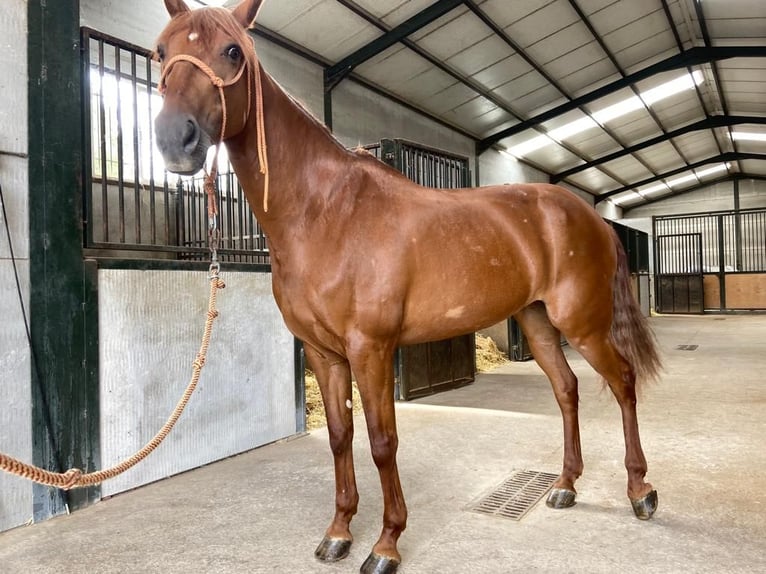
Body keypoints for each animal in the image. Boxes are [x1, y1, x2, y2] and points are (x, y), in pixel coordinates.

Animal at [154, 2, 660, 572]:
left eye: (233, 52)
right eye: (160, 51)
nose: (174, 139)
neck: (325, 213)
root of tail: (591, 216)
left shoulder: (371, 349)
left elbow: (381, 442)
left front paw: (386, 543)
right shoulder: (323, 354)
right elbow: (339, 437)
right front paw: (338, 532)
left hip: (584, 322)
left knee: (622, 382)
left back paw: (641, 492)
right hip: (537, 321)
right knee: (567, 388)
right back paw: (566, 485)